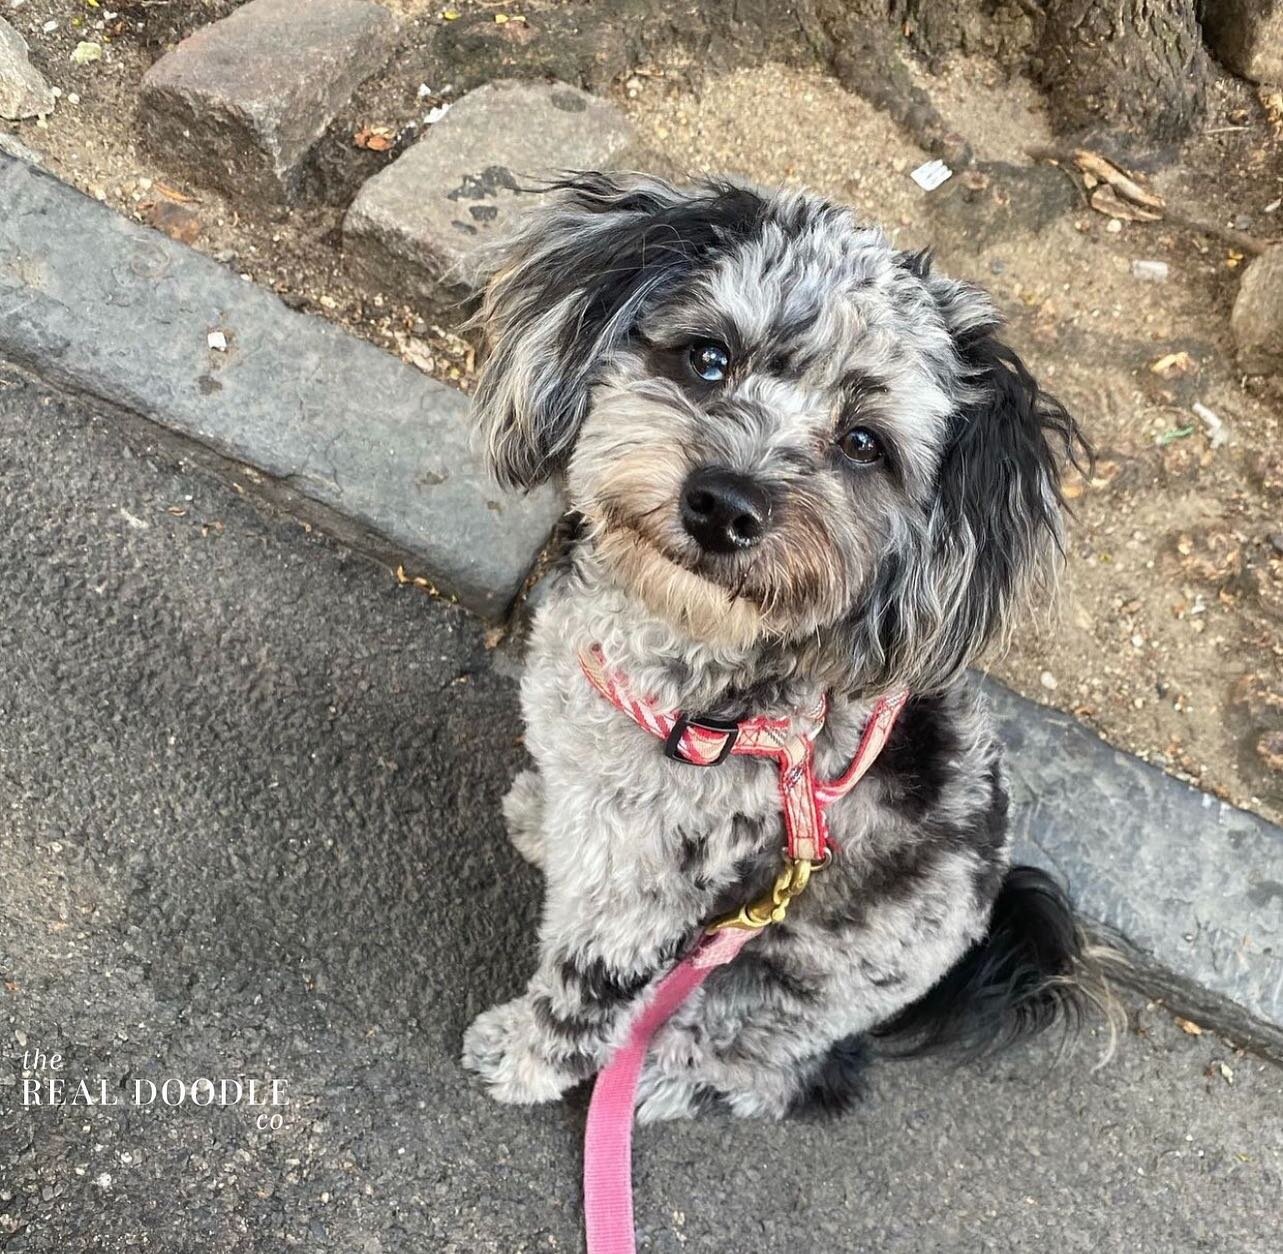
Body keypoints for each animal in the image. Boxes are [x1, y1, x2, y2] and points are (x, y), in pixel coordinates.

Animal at [459, 170, 1103, 1119]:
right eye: (708, 357)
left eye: (864, 444)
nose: (724, 505)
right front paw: (540, 819)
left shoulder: (653, 894)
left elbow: (583, 994)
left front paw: (522, 1060)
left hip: (764, 991)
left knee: (765, 1074)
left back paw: (657, 1085)